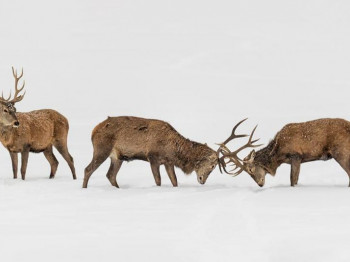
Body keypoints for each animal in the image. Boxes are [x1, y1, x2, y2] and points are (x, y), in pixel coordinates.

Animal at [83, 115, 242, 187]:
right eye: (212, 165)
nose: (202, 180)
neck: (173, 149)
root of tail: (93, 131)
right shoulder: (152, 157)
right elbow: (158, 180)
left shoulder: (168, 162)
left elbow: (175, 181)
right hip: (101, 149)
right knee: (88, 169)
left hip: (117, 157)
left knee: (110, 175)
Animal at [219, 117, 350, 187]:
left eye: (250, 169)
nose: (260, 184)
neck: (278, 155)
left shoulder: (296, 155)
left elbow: (293, 179)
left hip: (340, 152)